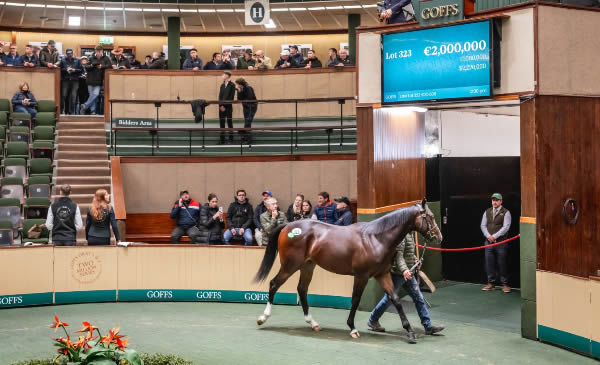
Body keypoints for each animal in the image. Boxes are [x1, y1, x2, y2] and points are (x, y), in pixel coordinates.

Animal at [252, 198, 440, 340]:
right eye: (430, 217)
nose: (439, 237)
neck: (376, 238)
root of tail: (287, 226)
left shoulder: (382, 274)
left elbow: (395, 299)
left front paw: (410, 332)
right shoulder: (361, 276)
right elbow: (355, 299)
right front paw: (353, 328)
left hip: (307, 266)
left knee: (302, 289)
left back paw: (313, 323)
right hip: (290, 265)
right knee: (274, 284)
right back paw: (262, 318)